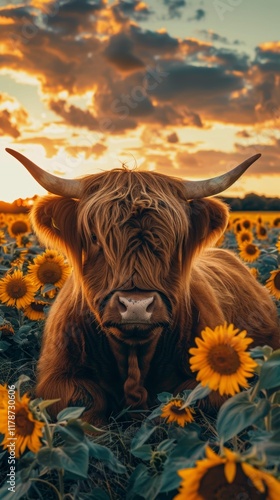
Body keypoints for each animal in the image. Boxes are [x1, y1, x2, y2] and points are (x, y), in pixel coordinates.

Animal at [5, 149, 278, 426]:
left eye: (175, 240)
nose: (136, 306)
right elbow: (82, 404)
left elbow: (187, 400)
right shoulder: (57, 378)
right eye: (94, 237)